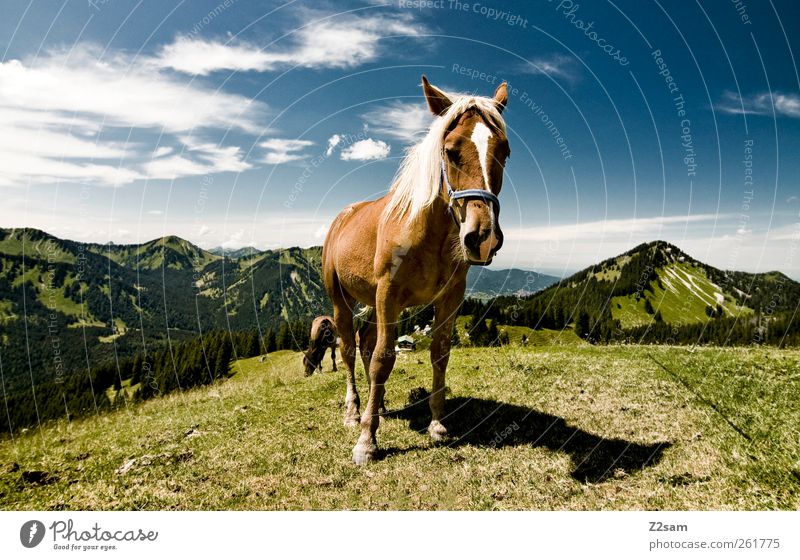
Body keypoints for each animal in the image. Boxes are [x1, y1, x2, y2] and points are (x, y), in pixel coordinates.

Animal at [322, 75, 510, 464]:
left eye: (504, 152)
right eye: (451, 150)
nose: (482, 237)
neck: (429, 233)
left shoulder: (451, 297)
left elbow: (439, 352)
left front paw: (437, 423)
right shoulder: (388, 294)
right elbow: (383, 358)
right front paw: (366, 441)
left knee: (365, 342)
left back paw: (377, 406)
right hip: (342, 300)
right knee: (349, 349)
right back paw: (354, 411)